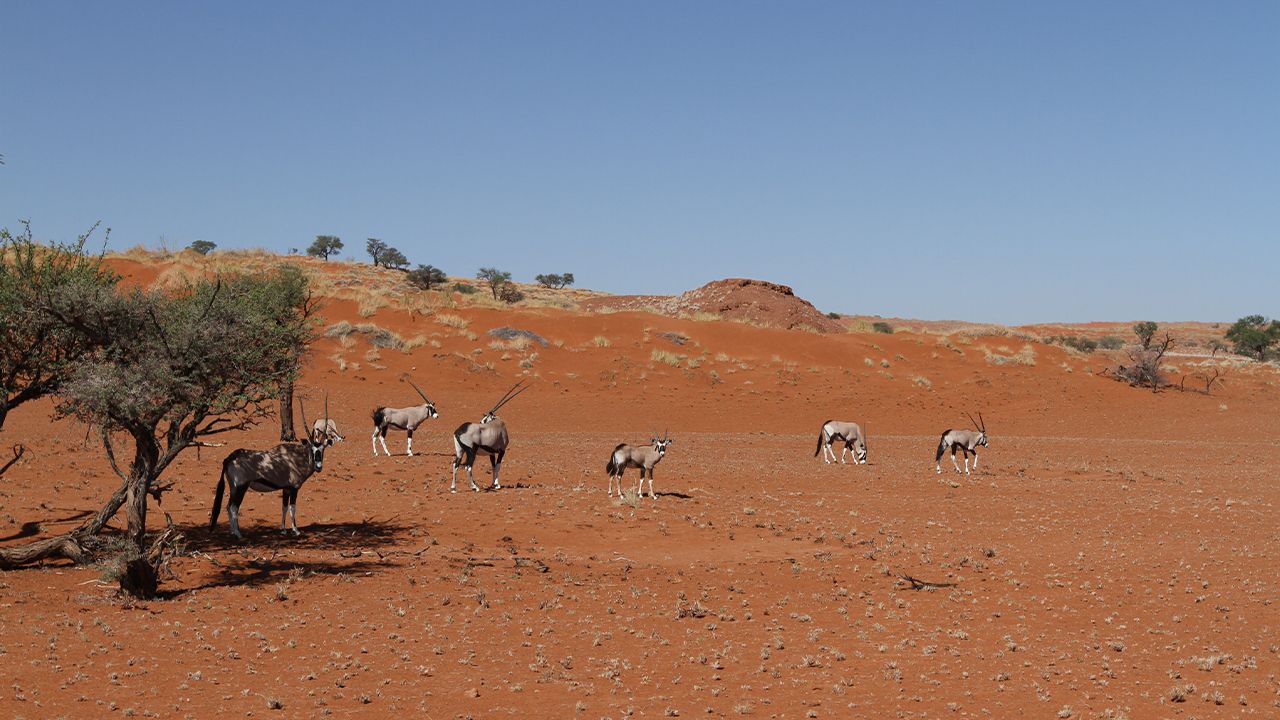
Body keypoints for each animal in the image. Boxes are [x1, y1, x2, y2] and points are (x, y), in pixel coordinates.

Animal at [212, 394, 330, 535]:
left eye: (323, 449)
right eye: (312, 449)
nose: (318, 467)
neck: (296, 457)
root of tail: (230, 458)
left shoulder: (286, 488)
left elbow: (284, 507)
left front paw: (283, 529)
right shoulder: (294, 488)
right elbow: (292, 508)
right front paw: (295, 530)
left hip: (233, 488)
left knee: (228, 507)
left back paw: (233, 532)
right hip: (241, 487)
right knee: (233, 508)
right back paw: (238, 534)